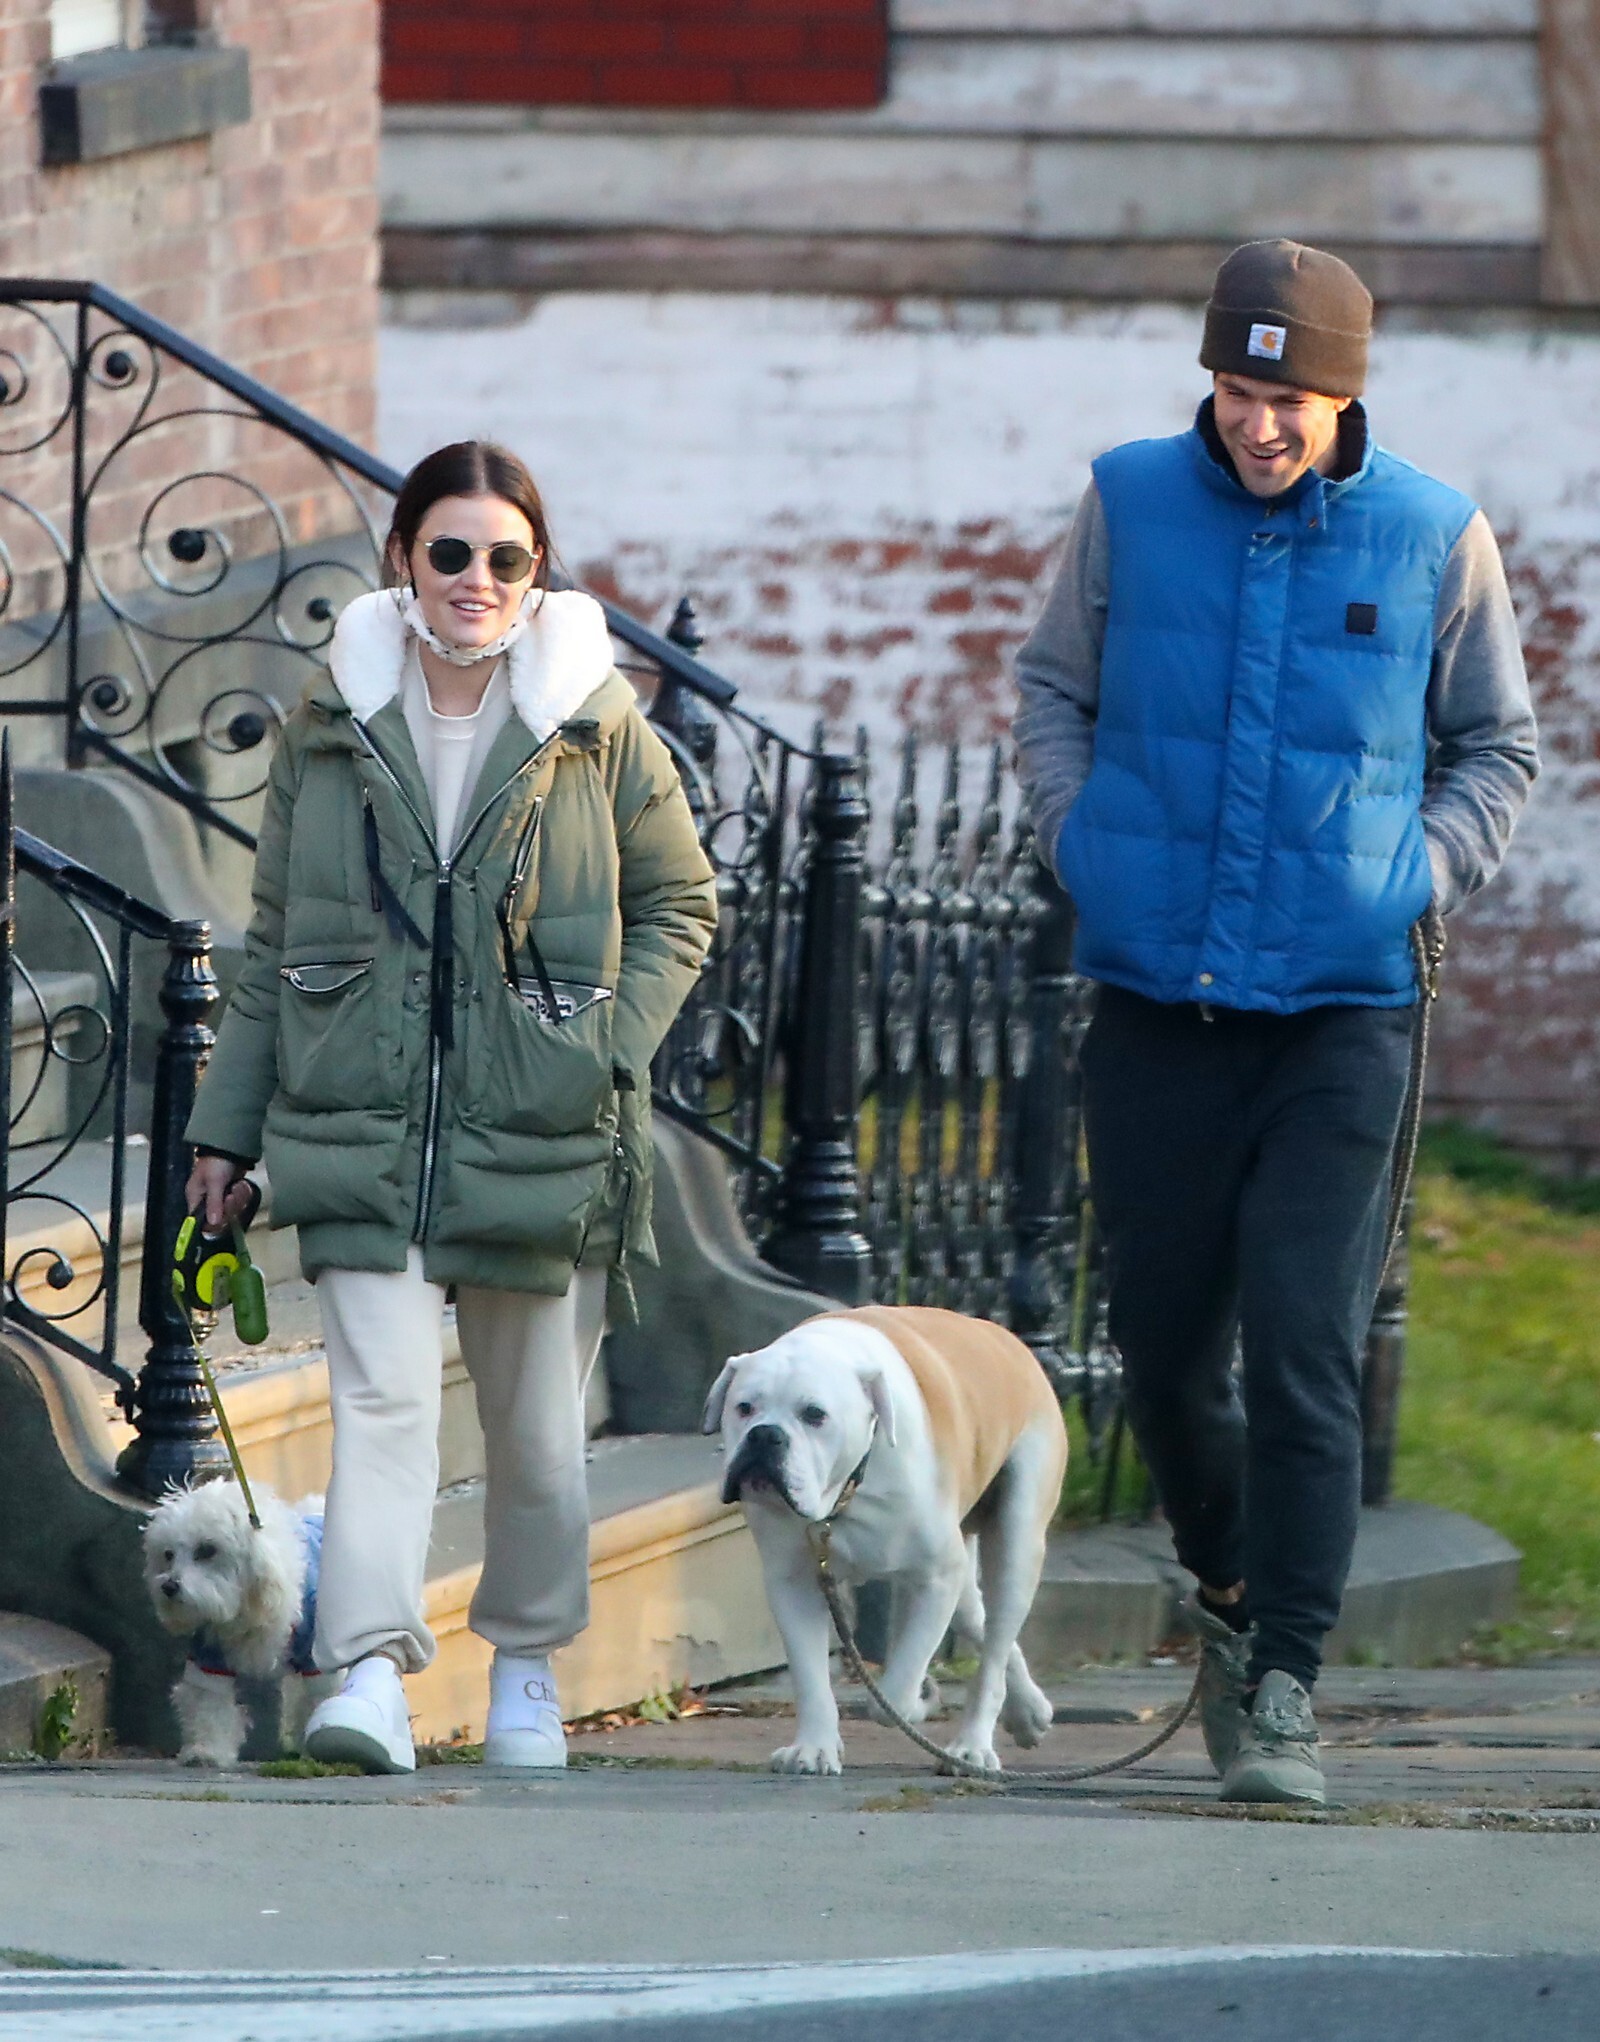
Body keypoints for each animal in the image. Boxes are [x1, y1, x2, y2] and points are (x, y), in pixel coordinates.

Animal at [143, 1481, 335, 1765]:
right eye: (168, 1554)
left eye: (207, 1550)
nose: (168, 1587)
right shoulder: (208, 1657)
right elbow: (210, 1703)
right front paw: (206, 1751)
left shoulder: (317, 1659)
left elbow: (321, 1697)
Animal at [704, 1304, 1069, 1776]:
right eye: (744, 1407)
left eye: (815, 1414)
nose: (765, 1434)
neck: (846, 1491)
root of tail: (1013, 1342)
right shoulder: (792, 1584)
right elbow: (810, 1679)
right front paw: (814, 1748)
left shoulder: (937, 1577)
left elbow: (894, 1691)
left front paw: (914, 1704)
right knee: (984, 1625)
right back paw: (1029, 1712)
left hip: (1015, 1542)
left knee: (994, 1648)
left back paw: (971, 1747)